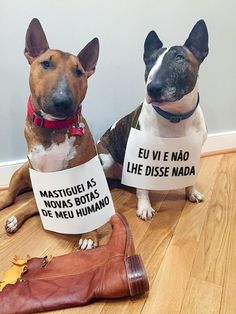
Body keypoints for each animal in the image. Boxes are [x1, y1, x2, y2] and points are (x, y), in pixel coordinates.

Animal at [0, 18, 99, 250]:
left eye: (79, 72)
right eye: (46, 64)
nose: (62, 101)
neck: (54, 127)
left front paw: (89, 235)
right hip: (21, 172)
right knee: (11, 199)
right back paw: (12, 214)